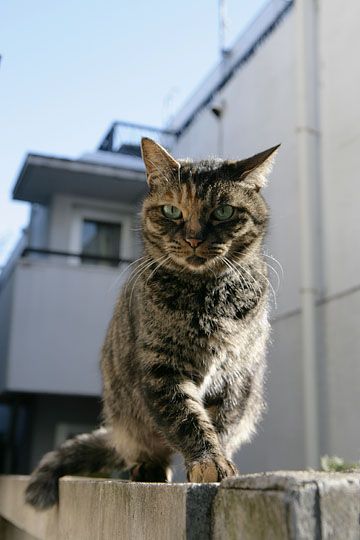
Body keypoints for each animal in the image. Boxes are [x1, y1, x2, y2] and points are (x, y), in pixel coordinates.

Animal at [25, 137, 280, 508]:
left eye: (223, 212)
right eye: (172, 211)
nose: (193, 238)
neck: (206, 297)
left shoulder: (237, 375)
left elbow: (222, 424)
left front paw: (220, 460)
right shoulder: (162, 367)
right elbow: (187, 419)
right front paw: (209, 460)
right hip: (126, 417)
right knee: (146, 445)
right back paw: (147, 467)